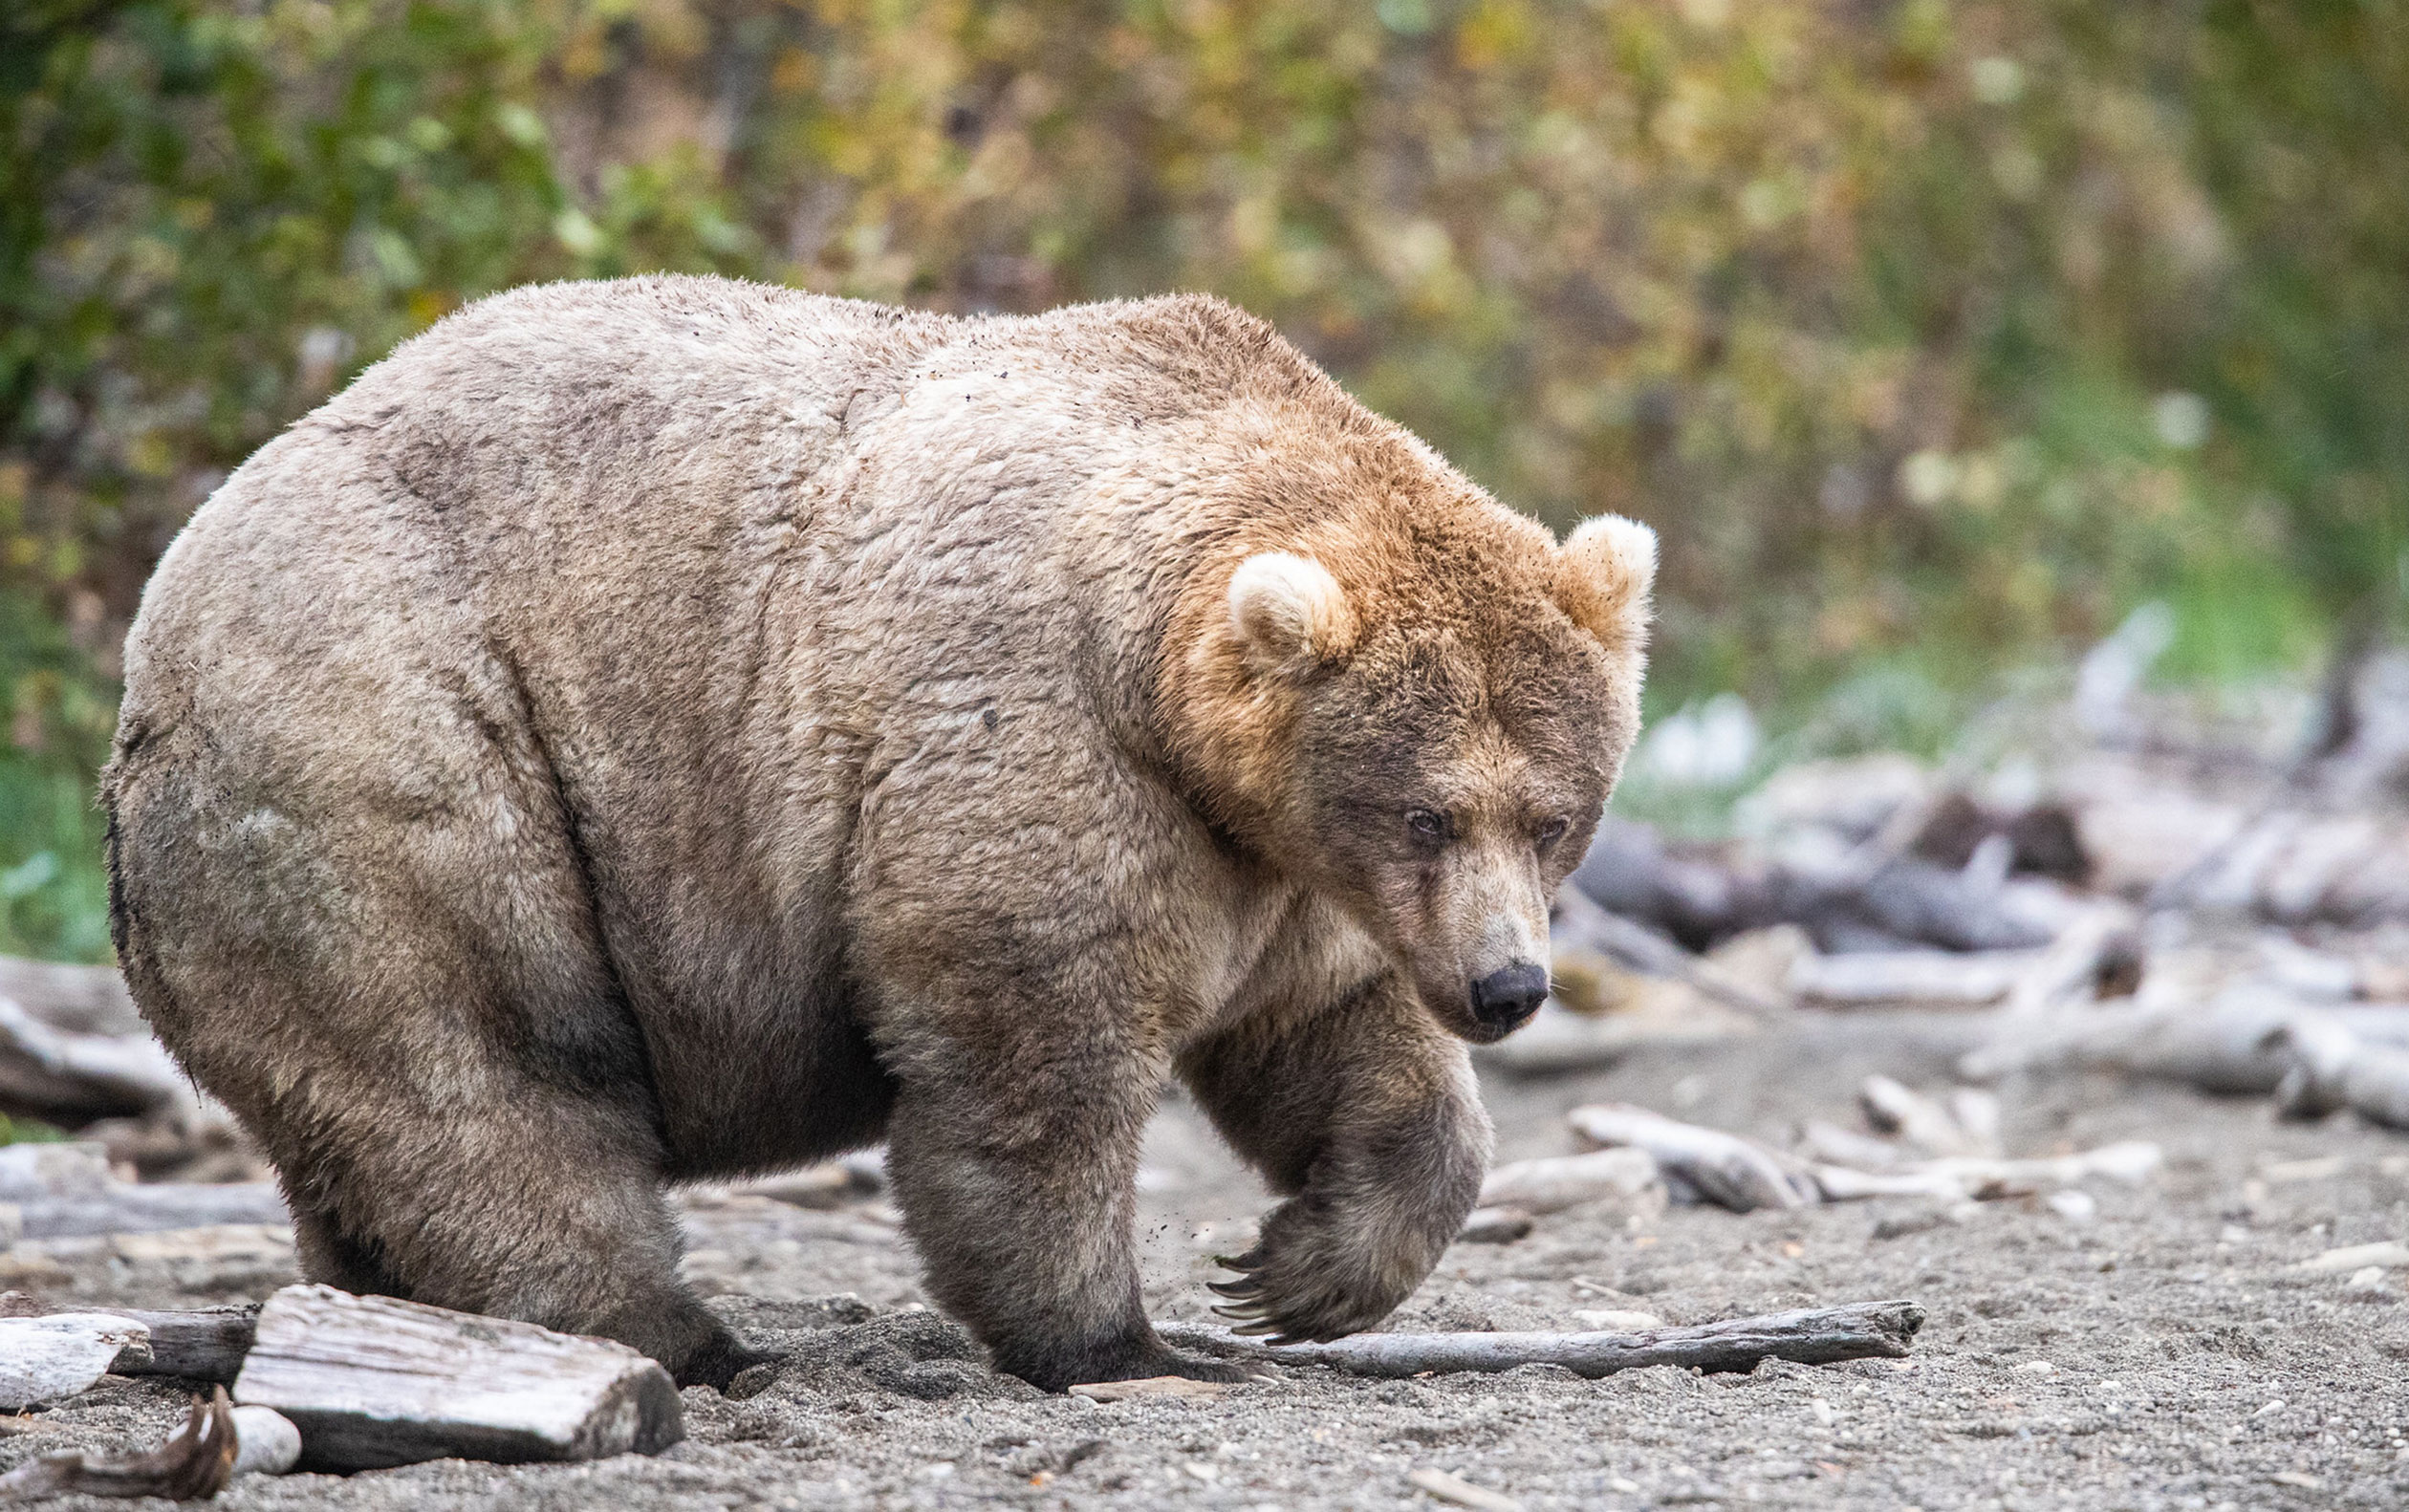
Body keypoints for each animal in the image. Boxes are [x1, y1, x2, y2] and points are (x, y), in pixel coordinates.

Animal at [99, 276, 1655, 1391]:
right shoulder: (1039, 739)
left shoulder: (1277, 864)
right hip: (403, 748)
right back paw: (679, 1335)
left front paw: (1297, 1271)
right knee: (485, 1065)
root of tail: (157, 624)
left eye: (1553, 814)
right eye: (1428, 808)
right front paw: (1123, 1339)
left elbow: (1334, 1033)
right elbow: (1033, 1052)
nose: (1509, 987)